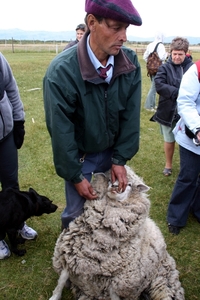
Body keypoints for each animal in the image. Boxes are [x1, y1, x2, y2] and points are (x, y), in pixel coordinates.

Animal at [48, 165, 184, 298]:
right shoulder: (69, 258)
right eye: (110, 180)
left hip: (163, 282)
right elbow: (60, 282)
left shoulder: (117, 283)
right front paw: (55, 296)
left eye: (129, 184)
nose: (114, 187)